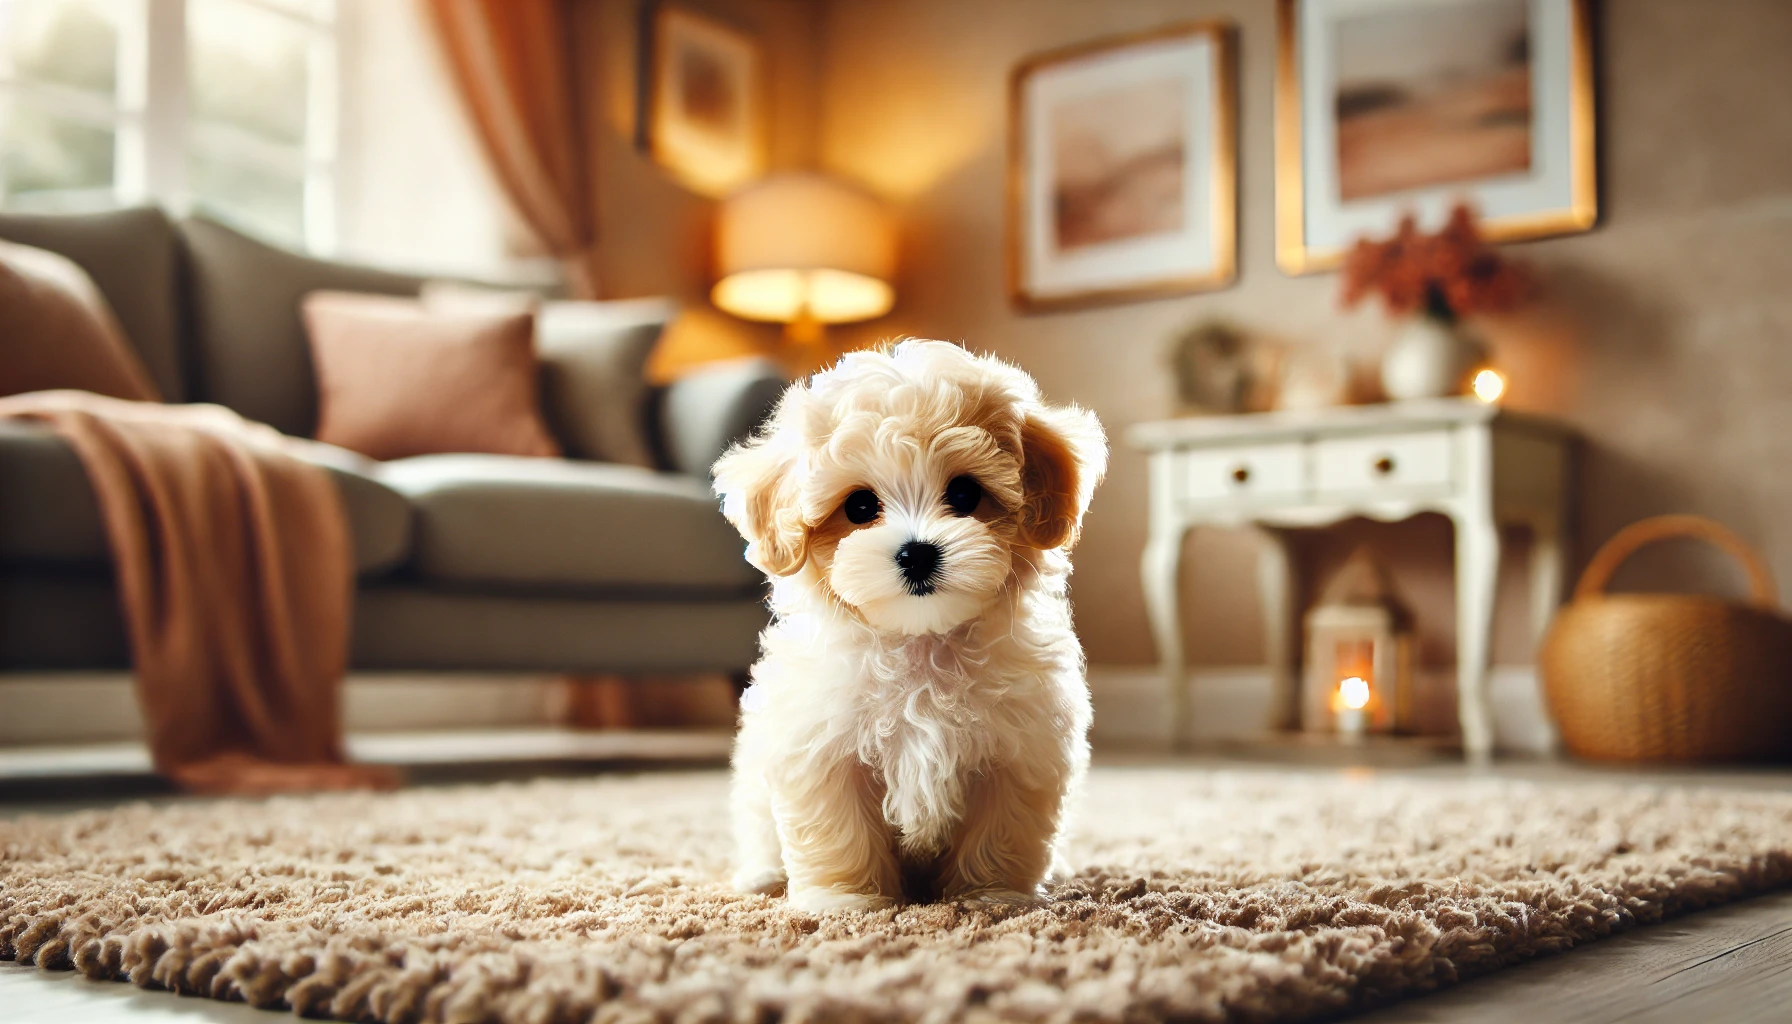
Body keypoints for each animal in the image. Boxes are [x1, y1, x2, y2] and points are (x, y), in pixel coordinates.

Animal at [709, 340, 1103, 918]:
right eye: (859, 506)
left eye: (965, 494)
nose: (917, 553)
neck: (920, 644)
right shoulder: (821, 749)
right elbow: (839, 830)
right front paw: (843, 901)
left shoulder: (1017, 752)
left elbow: (1001, 831)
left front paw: (993, 896)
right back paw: (761, 876)